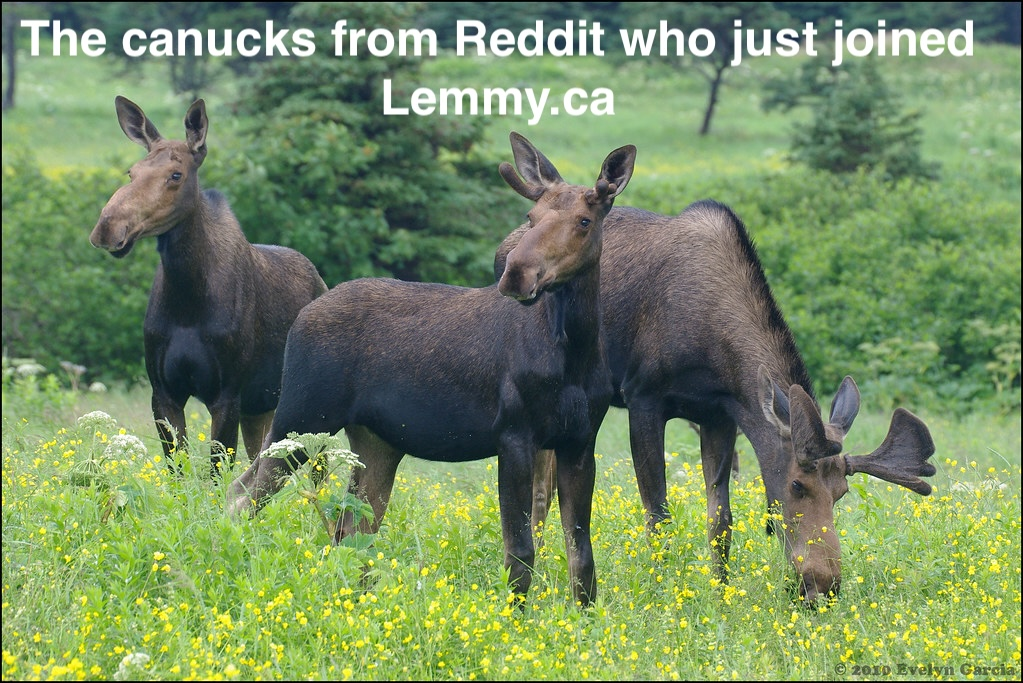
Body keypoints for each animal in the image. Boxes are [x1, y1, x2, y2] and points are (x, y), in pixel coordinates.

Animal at [91, 97, 325, 474]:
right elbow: (178, 469)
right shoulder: (164, 392)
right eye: (131, 172)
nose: (108, 227)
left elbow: (216, 471)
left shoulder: (227, 393)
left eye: (176, 174)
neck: (188, 297)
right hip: (260, 407)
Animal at [228, 132, 634, 609]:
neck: (575, 354)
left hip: (374, 441)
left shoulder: (579, 440)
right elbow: (520, 552)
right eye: (530, 217)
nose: (517, 274)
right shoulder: (514, 433)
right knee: (241, 494)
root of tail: (304, 314)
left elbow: (582, 558)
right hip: (301, 417)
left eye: (585, 221)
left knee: (352, 526)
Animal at [499, 200, 937, 605]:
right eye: (796, 484)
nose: (823, 586)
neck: (716, 347)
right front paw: (663, 588)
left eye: (842, 492)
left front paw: (721, 589)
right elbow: (658, 512)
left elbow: (721, 518)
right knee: (541, 490)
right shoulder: (643, 397)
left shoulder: (720, 413)